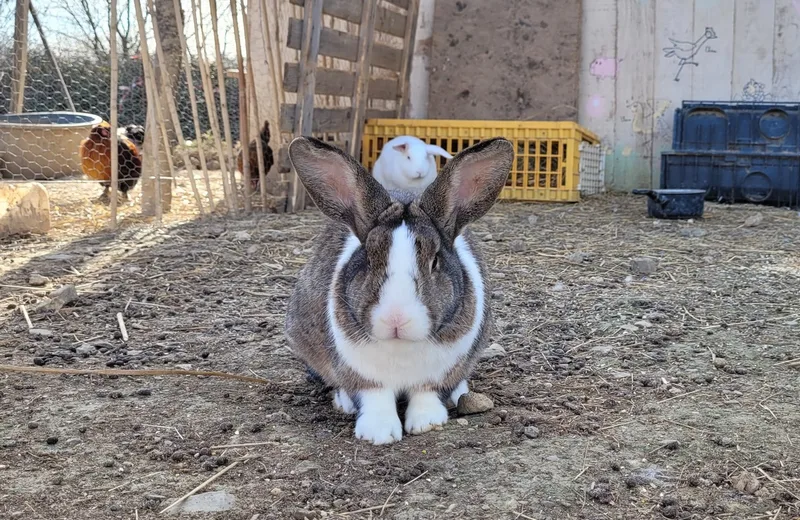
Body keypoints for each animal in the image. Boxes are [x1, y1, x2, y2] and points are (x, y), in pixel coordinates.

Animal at [284, 136, 516, 444]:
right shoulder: (364, 377)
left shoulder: (437, 376)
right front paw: (378, 433)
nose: (396, 319)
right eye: (369, 259)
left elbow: (426, 394)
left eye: (434, 261)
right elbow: (375, 398)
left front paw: (426, 423)